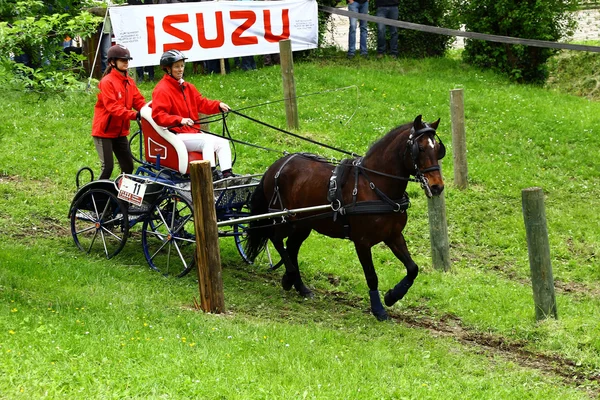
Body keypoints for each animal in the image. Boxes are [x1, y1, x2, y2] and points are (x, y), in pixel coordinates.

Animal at [244, 114, 446, 320]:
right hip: (284, 218)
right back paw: (290, 276)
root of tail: (276, 166)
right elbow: (372, 276)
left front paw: (392, 296)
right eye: (420, 148)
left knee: (292, 247)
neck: (374, 186)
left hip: (303, 224)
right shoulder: (362, 242)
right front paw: (378, 309)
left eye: (438, 149)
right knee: (276, 239)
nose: (437, 186)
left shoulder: (393, 235)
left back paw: (299, 286)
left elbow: (413, 269)